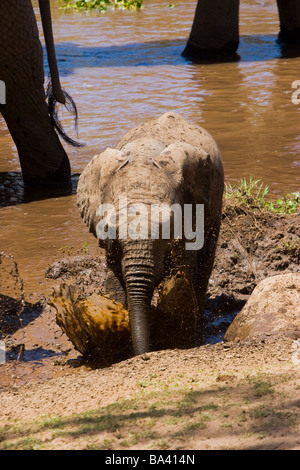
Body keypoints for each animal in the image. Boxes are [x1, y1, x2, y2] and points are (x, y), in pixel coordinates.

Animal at [77, 113, 223, 356]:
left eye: (168, 228)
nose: (144, 354)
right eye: (110, 229)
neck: (143, 155)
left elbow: (184, 267)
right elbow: (115, 277)